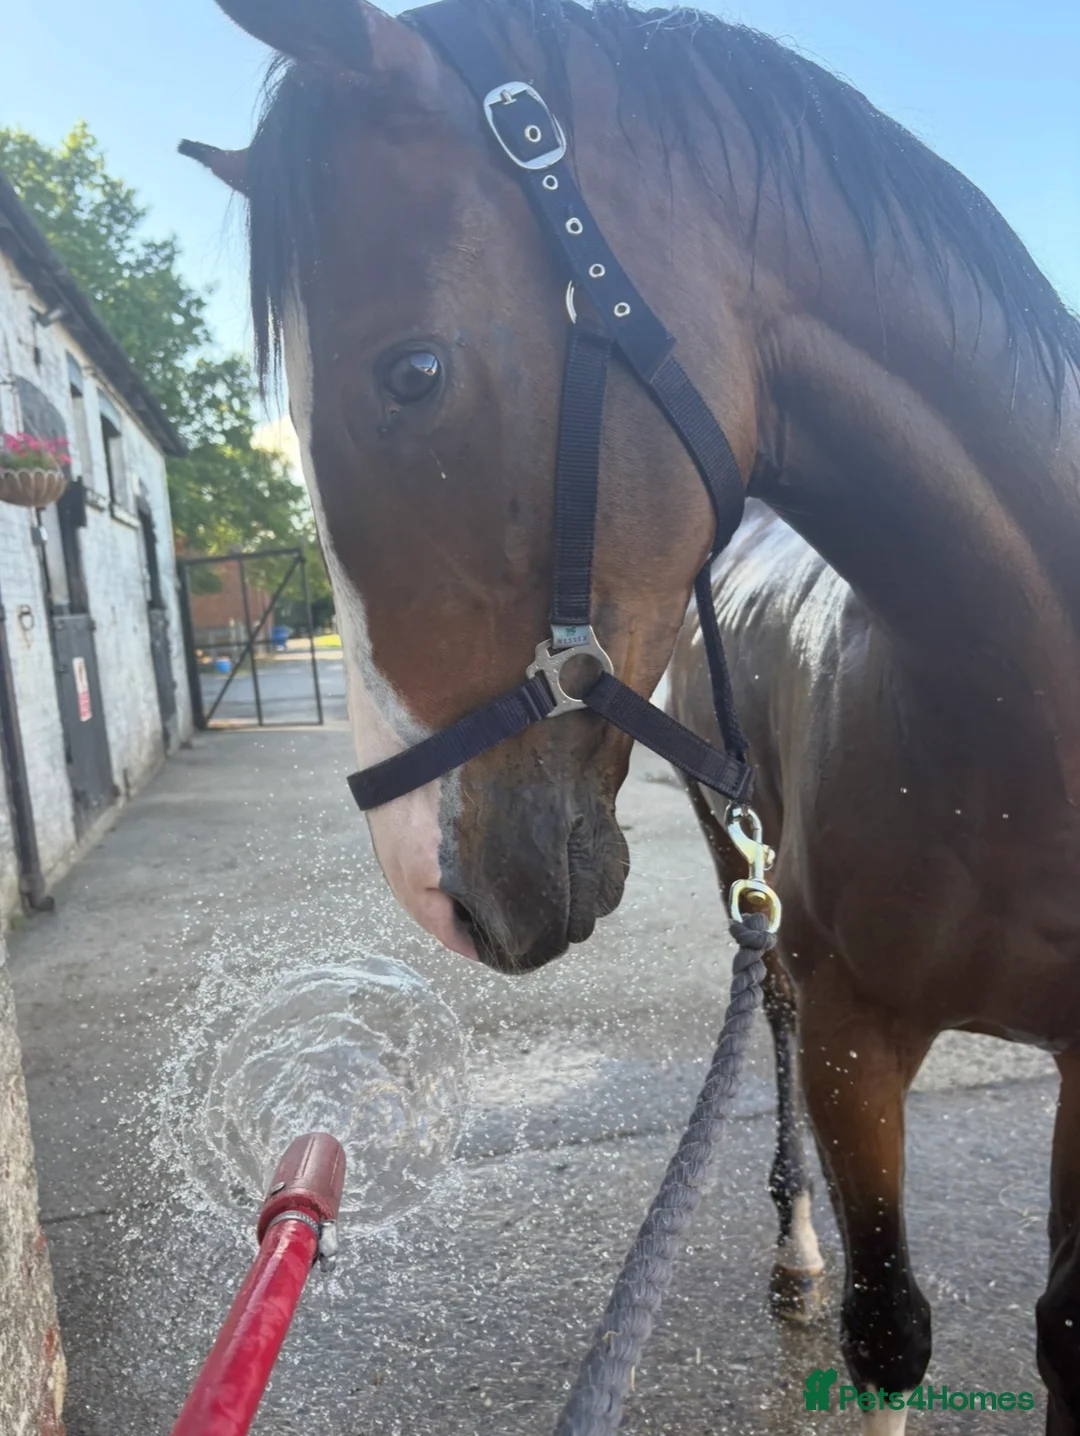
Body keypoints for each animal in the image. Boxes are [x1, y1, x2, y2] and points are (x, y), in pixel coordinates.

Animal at [181, 0, 1080, 1429]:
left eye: (413, 371)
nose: (424, 881)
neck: (1021, 729)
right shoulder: (857, 1036)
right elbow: (887, 1327)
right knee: (769, 1014)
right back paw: (795, 1243)